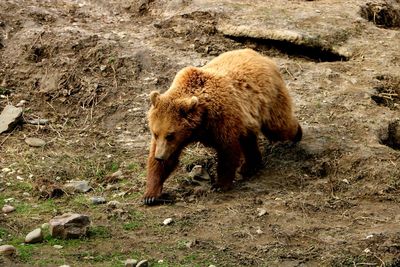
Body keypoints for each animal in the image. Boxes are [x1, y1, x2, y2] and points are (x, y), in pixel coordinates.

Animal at [142, 49, 302, 206]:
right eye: (155, 133)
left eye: (170, 135)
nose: (159, 156)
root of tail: (262, 57)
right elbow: (165, 160)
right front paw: (150, 195)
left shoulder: (222, 118)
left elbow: (228, 150)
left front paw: (219, 185)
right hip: (247, 119)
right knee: (249, 140)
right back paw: (250, 165)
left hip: (268, 99)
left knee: (278, 127)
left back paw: (297, 134)